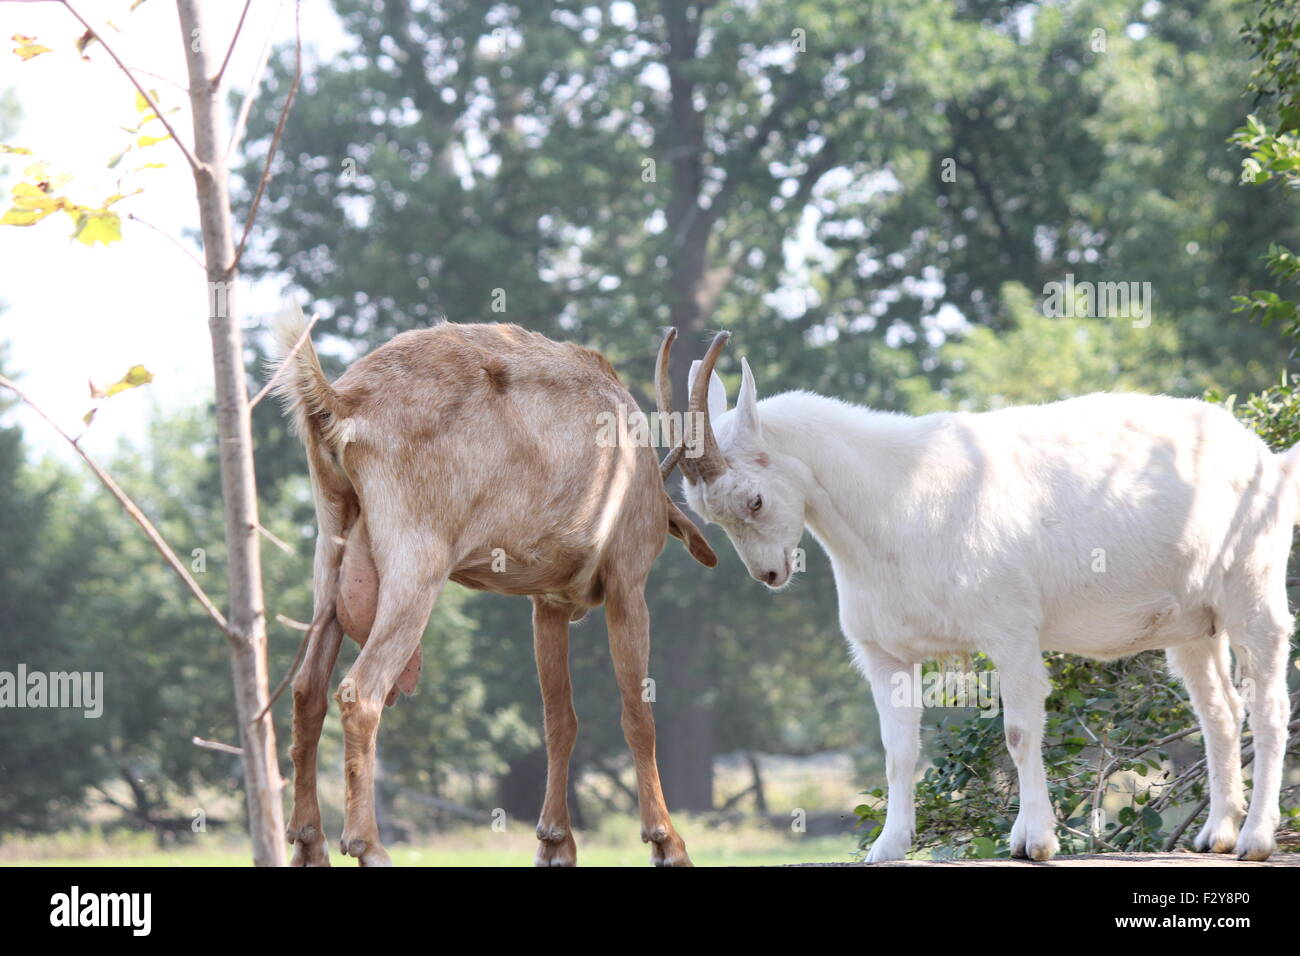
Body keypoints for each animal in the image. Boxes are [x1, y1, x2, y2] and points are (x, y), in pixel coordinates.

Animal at [272, 307, 716, 866]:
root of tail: (341, 401)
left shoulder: (548, 602)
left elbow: (559, 719)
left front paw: (555, 841)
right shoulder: (627, 581)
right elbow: (639, 713)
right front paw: (666, 840)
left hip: (329, 552)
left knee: (307, 688)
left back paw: (309, 842)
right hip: (417, 561)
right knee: (360, 690)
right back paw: (367, 844)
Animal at [657, 330, 1297, 862]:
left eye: (755, 501)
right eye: (709, 517)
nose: (769, 574)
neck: (895, 496)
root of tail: (1267, 459)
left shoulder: (1010, 631)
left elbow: (1018, 732)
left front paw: (1035, 840)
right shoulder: (883, 653)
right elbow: (897, 750)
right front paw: (888, 846)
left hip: (1253, 586)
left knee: (1267, 706)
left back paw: (1255, 840)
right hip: (1194, 623)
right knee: (1219, 710)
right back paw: (1216, 833)